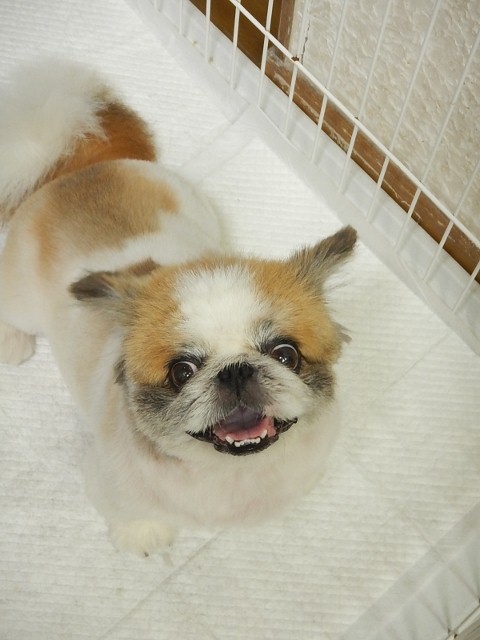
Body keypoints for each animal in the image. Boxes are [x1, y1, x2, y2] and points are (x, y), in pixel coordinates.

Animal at [0, 61, 356, 555]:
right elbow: (131, 514)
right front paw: (144, 535)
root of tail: (77, 169)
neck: (233, 475)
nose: (236, 370)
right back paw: (12, 342)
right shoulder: (107, 480)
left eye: (286, 354)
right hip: (20, 295)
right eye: (181, 371)